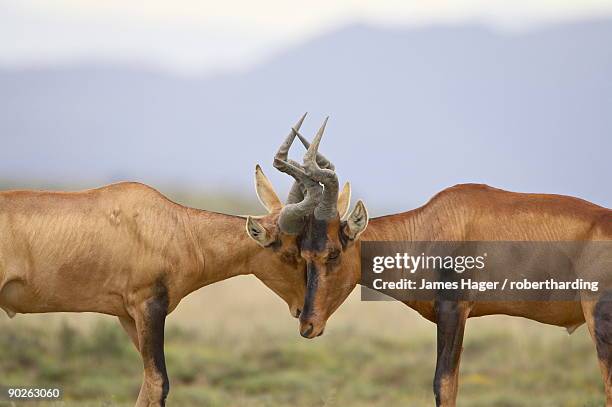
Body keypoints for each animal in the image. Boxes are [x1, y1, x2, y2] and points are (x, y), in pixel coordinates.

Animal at [0, 113, 350, 406]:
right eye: (292, 252)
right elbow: (159, 383)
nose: (306, 317)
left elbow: (148, 383)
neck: (175, 226)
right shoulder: (149, 307)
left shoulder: (128, 316)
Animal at [268, 119, 612, 407]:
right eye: (303, 253)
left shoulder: (453, 309)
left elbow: (444, 385)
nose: (307, 325)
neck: (431, 224)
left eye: (333, 253)